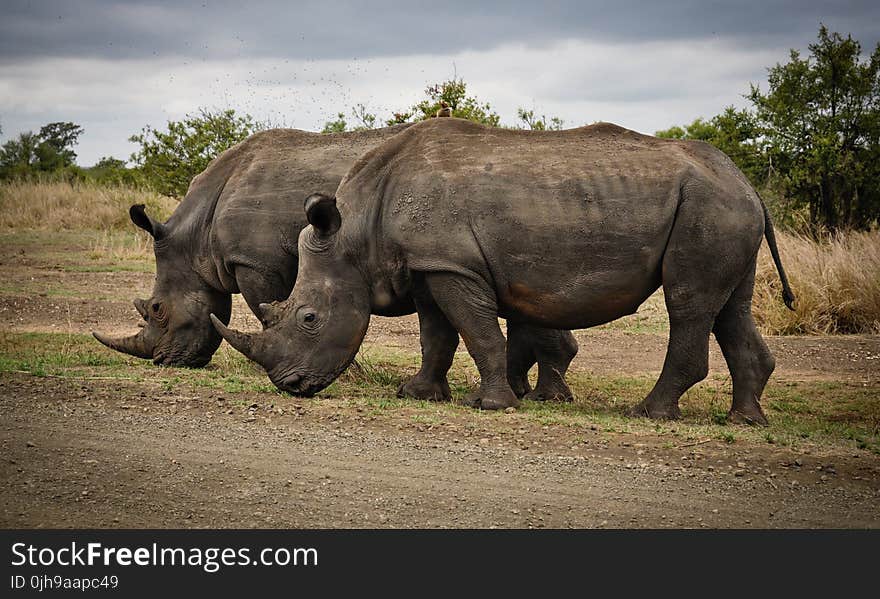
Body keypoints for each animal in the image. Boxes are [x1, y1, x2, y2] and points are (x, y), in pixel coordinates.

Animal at [94, 123, 576, 400]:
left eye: (157, 309)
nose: (162, 360)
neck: (197, 235)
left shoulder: (256, 262)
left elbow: (269, 308)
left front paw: (347, 372)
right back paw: (534, 391)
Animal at [215, 119, 796, 424]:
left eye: (309, 318)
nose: (289, 385)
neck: (356, 233)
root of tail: (748, 184)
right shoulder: (430, 265)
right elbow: (436, 335)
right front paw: (418, 394)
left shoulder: (453, 266)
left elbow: (476, 332)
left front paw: (491, 404)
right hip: (722, 208)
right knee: (729, 306)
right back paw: (745, 420)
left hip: (709, 209)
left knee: (688, 302)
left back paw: (649, 413)